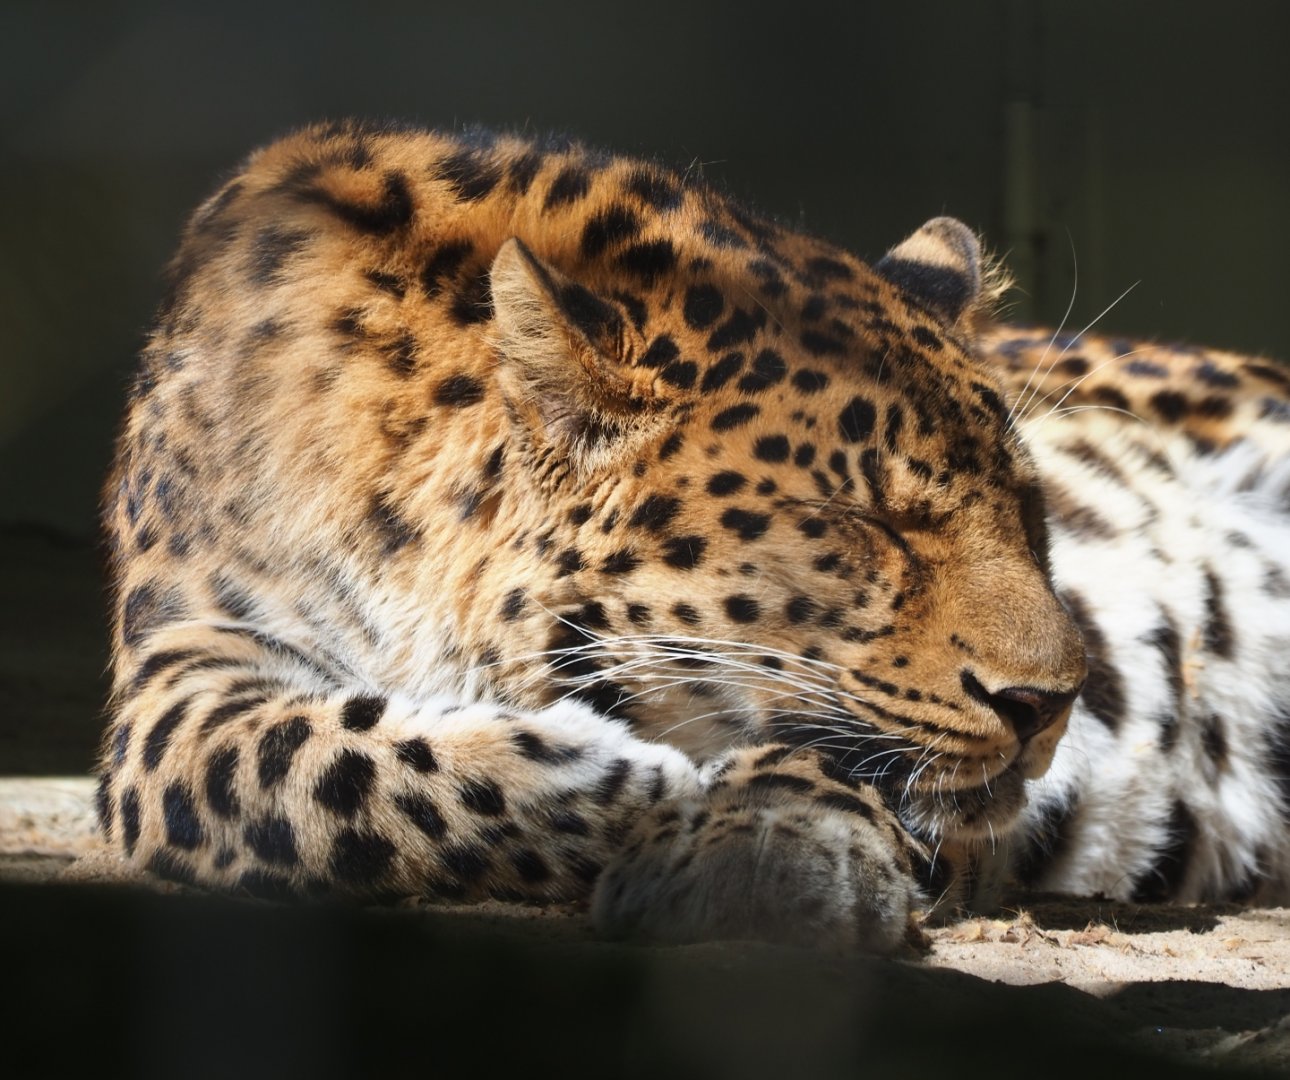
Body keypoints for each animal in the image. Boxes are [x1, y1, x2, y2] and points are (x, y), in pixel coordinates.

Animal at [96, 120, 1290, 951]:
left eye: (1031, 512)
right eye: (870, 522)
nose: (1050, 708)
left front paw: (761, 841)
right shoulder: (180, 675)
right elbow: (330, 769)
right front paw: (637, 781)